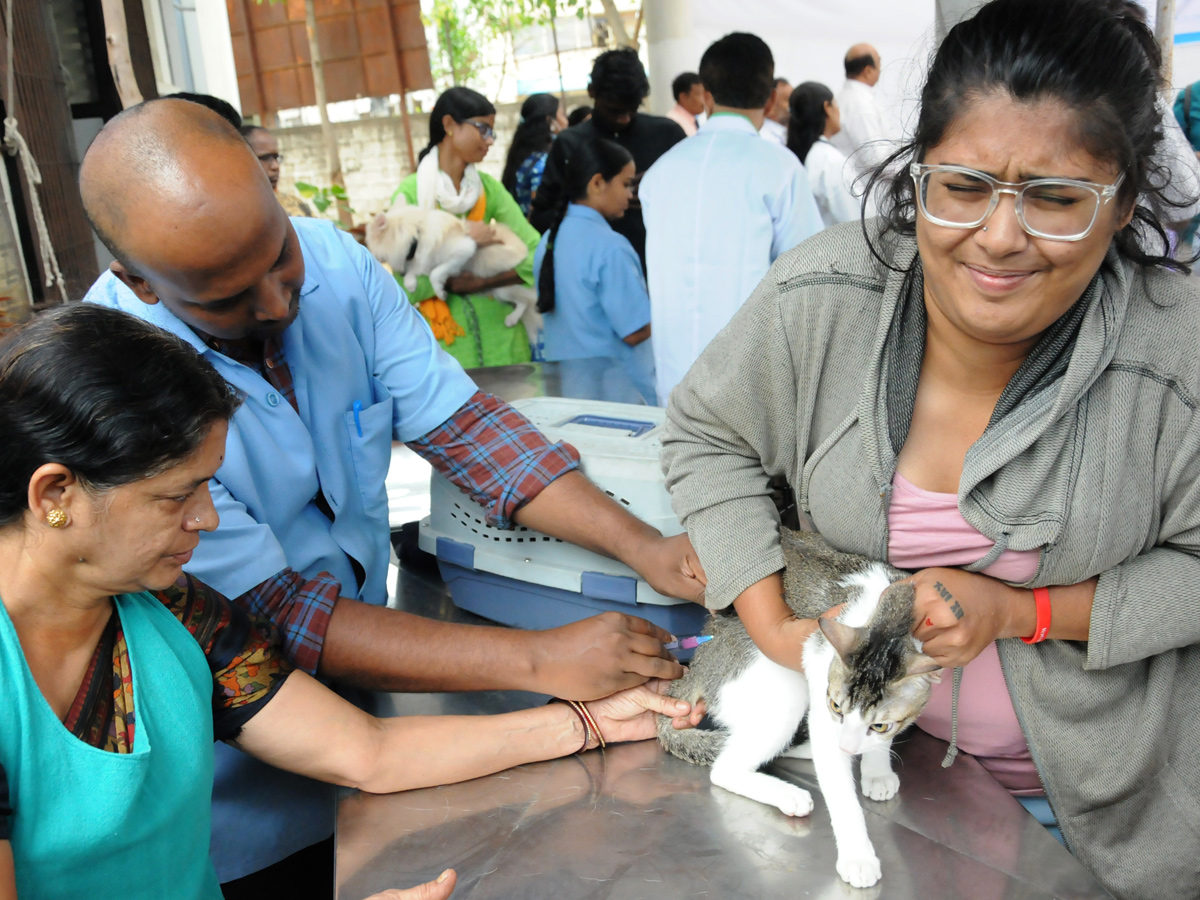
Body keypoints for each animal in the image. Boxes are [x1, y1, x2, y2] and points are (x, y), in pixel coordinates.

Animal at [662, 528, 940, 888]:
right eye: (836, 706)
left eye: (880, 725)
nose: (847, 746)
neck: (882, 612)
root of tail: (699, 665)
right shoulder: (821, 682)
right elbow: (840, 792)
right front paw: (858, 856)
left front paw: (876, 768)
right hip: (784, 685)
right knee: (724, 769)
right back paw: (787, 793)